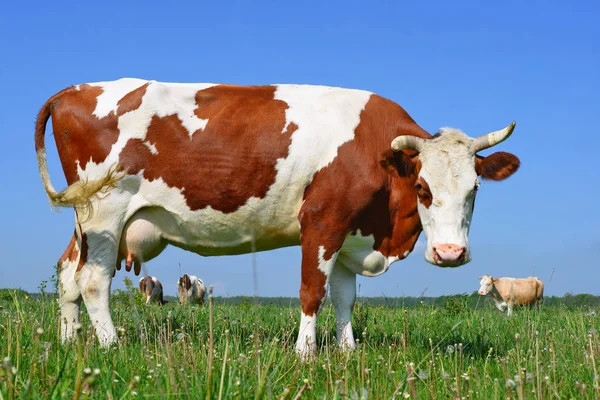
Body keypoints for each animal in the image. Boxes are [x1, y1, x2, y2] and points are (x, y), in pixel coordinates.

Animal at [35, 78, 516, 356]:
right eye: (422, 188)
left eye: (475, 190)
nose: (450, 253)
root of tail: (73, 90)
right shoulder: (322, 221)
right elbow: (312, 292)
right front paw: (306, 354)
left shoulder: (351, 233)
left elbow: (345, 297)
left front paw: (347, 352)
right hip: (105, 211)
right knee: (92, 279)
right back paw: (111, 345)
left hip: (86, 218)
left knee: (67, 272)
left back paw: (68, 341)